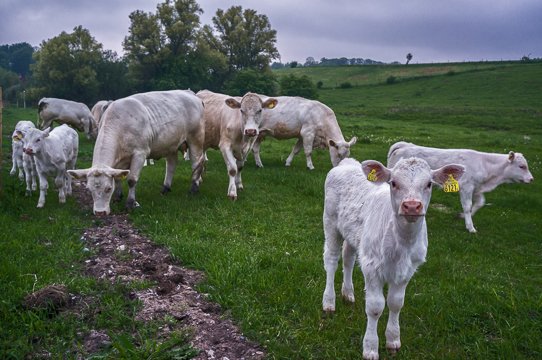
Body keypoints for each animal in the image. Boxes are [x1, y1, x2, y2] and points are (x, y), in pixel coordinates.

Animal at [66, 90, 206, 217]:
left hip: (196, 139)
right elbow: (118, 177)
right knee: (171, 164)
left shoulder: (140, 154)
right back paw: (165, 188)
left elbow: (131, 180)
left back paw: (194, 189)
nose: (100, 213)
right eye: (89, 189)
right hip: (170, 144)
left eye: (109, 188)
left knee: (196, 163)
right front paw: (117, 197)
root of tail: (191, 94)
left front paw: (130, 204)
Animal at [324, 158, 468, 360]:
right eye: (393, 183)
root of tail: (347, 162)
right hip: (330, 222)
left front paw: (393, 340)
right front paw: (370, 348)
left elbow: (396, 303)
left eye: (429, 184)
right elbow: (375, 307)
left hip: (353, 233)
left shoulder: (408, 270)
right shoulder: (371, 266)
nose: (412, 206)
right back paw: (329, 302)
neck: (402, 244)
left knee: (348, 258)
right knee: (331, 259)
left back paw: (348, 294)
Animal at [388, 141, 536, 233]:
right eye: (521, 166)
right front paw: (470, 227)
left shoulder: (476, 188)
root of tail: (404, 145)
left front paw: (462, 216)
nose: (531, 179)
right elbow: (468, 206)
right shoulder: (467, 187)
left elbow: (480, 203)